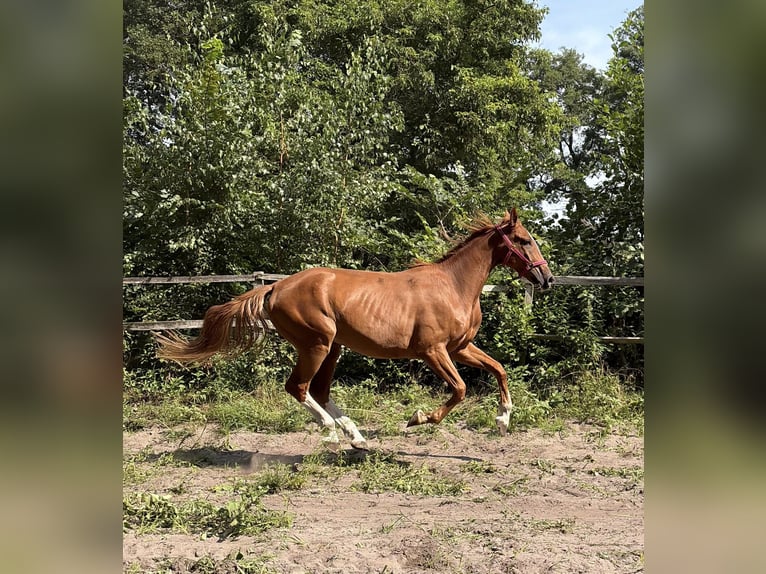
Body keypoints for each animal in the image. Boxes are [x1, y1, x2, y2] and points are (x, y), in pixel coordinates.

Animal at [156, 208, 553, 449]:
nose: (547, 278)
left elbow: (499, 369)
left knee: (319, 389)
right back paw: (333, 433)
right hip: (316, 344)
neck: (453, 286)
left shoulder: (460, 348)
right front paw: (418, 418)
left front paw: (502, 420)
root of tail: (275, 287)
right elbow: (459, 390)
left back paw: (356, 436)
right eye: (523, 240)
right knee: (298, 387)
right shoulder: (433, 351)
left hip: (333, 347)